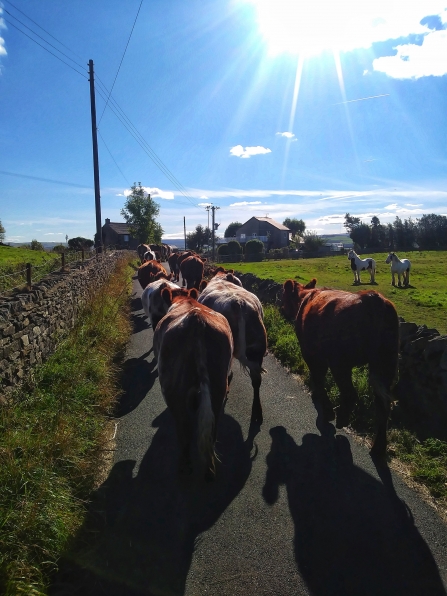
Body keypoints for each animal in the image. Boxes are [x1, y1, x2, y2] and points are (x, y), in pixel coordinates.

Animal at [153, 286, 233, 480]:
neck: (184, 301)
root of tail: (196, 321)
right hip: (218, 386)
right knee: (212, 429)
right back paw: (209, 471)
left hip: (172, 388)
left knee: (184, 429)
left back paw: (185, 467)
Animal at [282, 280, 400, 456]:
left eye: (283, 295)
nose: (282, 309)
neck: (305, 297)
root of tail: (373, 299)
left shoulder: (310, 352)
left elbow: (317, 377)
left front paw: (325, 407)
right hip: (386, 364)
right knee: (382, 406)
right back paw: (378, 448)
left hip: (340, 362)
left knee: (350, 393)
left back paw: (341, 418)